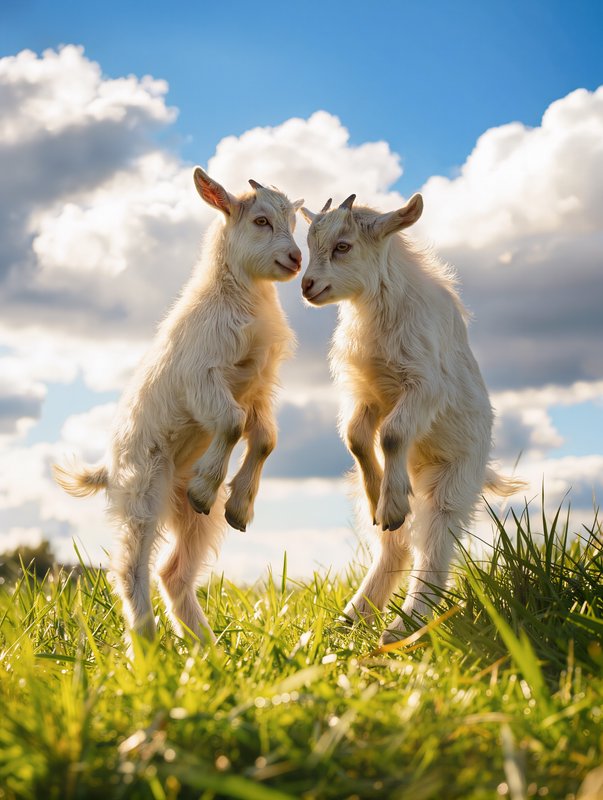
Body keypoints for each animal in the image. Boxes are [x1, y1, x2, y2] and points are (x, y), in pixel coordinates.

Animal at [54, 168, 303, 643]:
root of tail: (108, 466)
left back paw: (206, 647)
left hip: (188, 516)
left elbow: (265, 438)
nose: (296, 258)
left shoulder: (258, 388)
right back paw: (147, 643)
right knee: (129, 567)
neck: (237, 297)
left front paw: (239, 506)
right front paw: (209, 486)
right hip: (143, 488)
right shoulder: (202, 379)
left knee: (173, 572)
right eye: (261, 220)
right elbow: (231, 422)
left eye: (294, 222)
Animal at [301, 193, 524, 643]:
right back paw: (351, 620)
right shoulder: (366, 392)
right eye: (310, 243)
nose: (307, 285)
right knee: (396, 546)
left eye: (343, 246)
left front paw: (389, 502)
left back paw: (404, 626)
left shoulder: (423, 387)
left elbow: (392, 434)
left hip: (451, 484)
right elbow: (356, 437)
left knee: (433, 548)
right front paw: (378, 497)